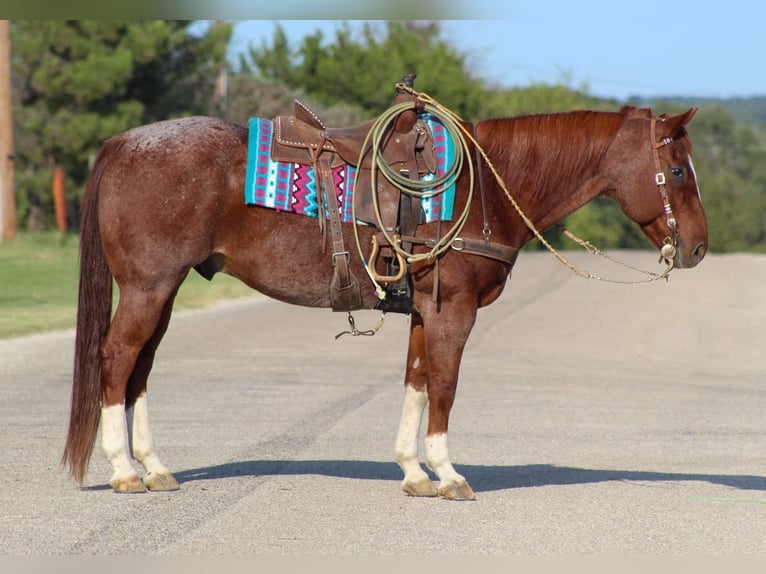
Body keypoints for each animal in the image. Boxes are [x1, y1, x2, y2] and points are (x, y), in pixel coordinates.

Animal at [63, 98, 712, 500]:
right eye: (679, 170)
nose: (700, 247)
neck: (483, 186)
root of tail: (124, 143)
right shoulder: (453, 311)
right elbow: (444, 385)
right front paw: (447, 473)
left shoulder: (424, 312)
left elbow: (417, 381)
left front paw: (413, 471)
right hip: (149, 288)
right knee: (116, 358)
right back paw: (122, 469)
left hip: (162, 291)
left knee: (139, 367)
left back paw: (153, 466)